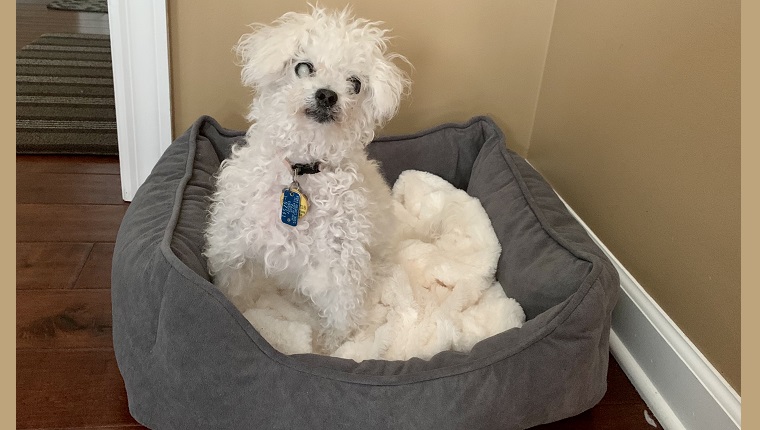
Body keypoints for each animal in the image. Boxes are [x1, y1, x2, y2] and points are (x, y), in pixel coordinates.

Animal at [203, 6, 410, 352]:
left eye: (355, 83)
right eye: (304, 67)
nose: (327, 95)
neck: (300, 169)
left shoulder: (339, 266)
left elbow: (341, 314)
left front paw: (329, 348)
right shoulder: (237, 251)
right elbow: (236, 294)